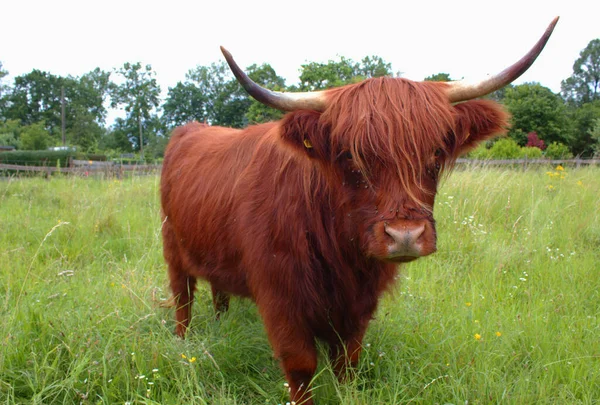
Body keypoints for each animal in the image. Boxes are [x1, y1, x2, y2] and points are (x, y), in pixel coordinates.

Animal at [162, 18, 560, 400]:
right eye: (351, 156)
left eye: (434, 153)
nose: (405, 236)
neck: (340, 254)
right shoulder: (280, 298)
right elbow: (301, 366)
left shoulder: (360, 305)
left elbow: (347, 364)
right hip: (172, 249)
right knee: (183, 300)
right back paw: (183, 345)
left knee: (219, 294)